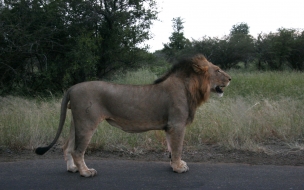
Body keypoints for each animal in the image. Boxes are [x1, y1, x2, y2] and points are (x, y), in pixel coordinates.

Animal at [35, 54, 230, 177]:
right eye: (218, 70)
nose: (230, 79)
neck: (190, 88)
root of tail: (72, 87)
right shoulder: (177, 124)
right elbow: (177, 148)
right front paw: (179, 168)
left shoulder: (170, 127)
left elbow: (171, 148)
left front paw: (176, 165)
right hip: (87, 123)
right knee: (77, 150)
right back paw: (85, 172)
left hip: (76, 123)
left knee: (67, 146)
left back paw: (72, 169)